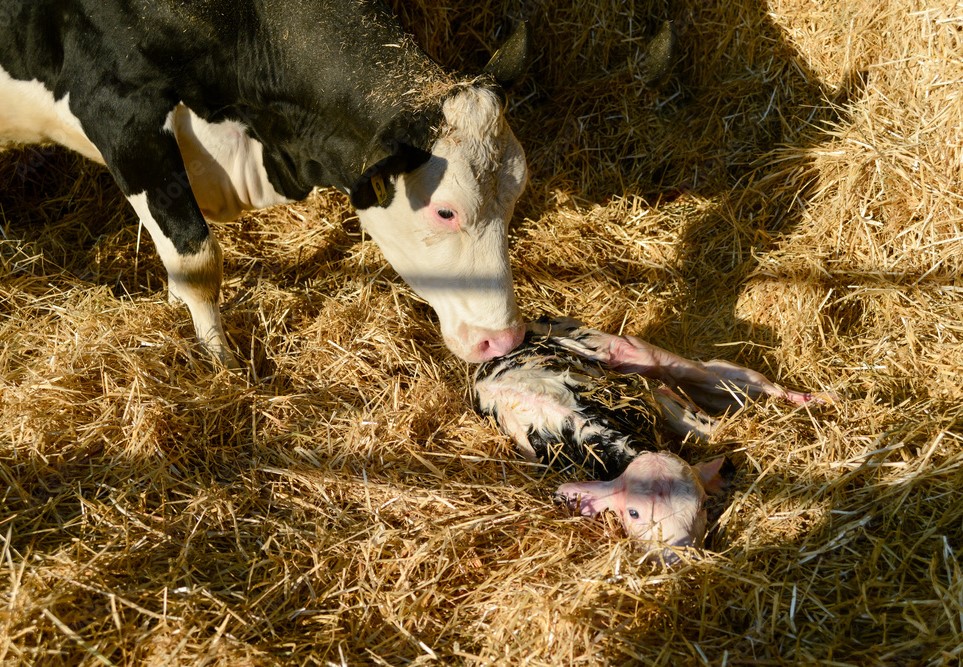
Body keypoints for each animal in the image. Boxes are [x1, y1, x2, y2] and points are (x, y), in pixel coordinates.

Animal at [0, 0, 530, 367]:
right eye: (445, 211)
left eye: (516, 194)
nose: (503, 340)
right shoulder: (119, 112)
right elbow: (197, 258)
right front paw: (221, 363)